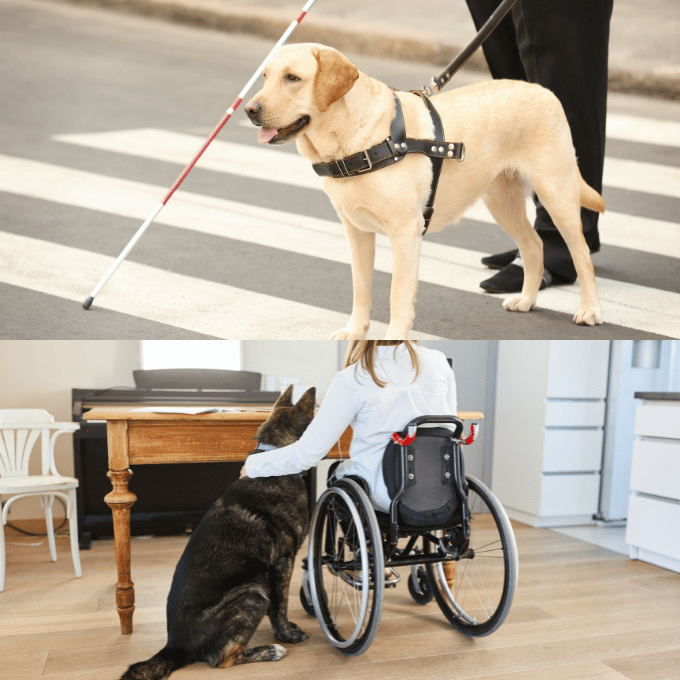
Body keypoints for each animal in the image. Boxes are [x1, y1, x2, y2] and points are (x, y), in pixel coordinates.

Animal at [244, 44, 604, 338]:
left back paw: (590, 310)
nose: (249, 110)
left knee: (581, 253)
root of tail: (543, 90)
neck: (356, 141)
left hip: (556, 192)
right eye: (265, 76)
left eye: (293, 78)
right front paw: (355, 332)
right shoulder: (356, 231)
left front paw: (392, 340)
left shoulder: (405, 232)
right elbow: (361, 288)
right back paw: (527, 299)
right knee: (533, 245)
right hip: (502, 201)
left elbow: (397, 294)